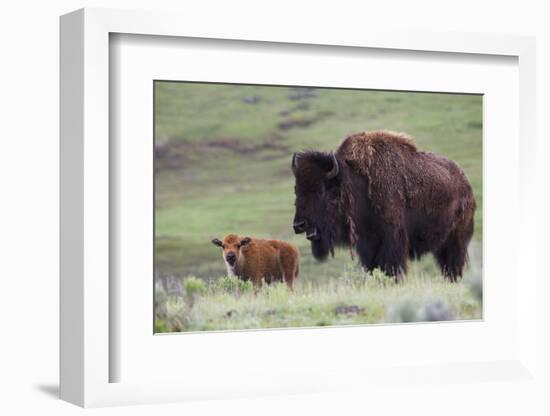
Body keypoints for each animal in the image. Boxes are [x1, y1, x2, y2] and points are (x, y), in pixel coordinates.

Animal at [294, 132, 478, 282]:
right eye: (297, 190)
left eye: (320, 191)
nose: (298, 225)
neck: (353, 184)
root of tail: (466, 185)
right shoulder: (367, 244)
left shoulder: (392, 239)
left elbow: (391, 267)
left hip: (456, 240)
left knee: (454, 264)